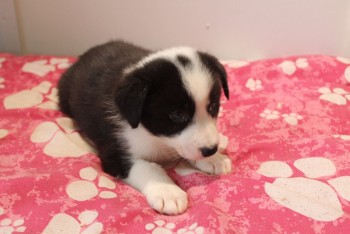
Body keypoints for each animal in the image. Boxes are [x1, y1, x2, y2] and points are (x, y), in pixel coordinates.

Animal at [57, 40, 232, 214]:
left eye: (213, 107)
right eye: (178, 114)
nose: (210, 150)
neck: (155, 138)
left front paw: (215, 159)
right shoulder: (115, 152)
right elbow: (147, 167)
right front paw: (168, 192)